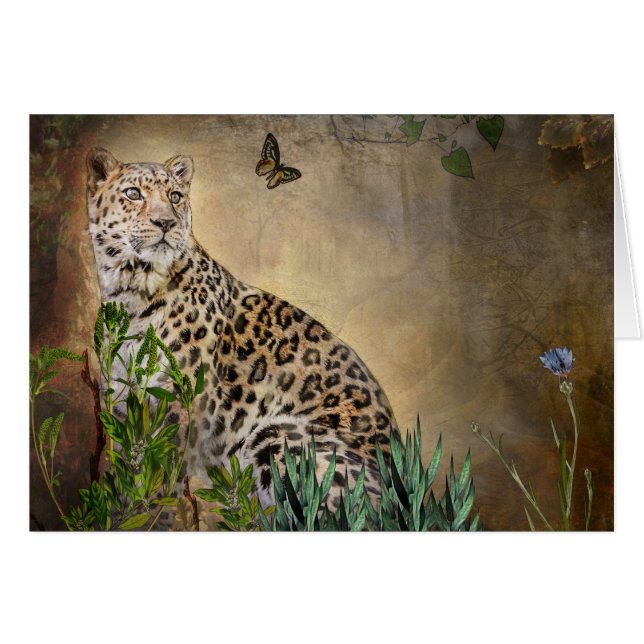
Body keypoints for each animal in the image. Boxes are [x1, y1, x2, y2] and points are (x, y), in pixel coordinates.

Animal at [85, 147, 400, 525]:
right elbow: (129, 470)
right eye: (134, 194)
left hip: (277, 436)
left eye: (175, 197)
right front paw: (123, 512)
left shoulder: (181, 405)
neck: (129, 292)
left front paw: (155, 518)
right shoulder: (122, 407)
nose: (166, 223)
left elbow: (163, 476)